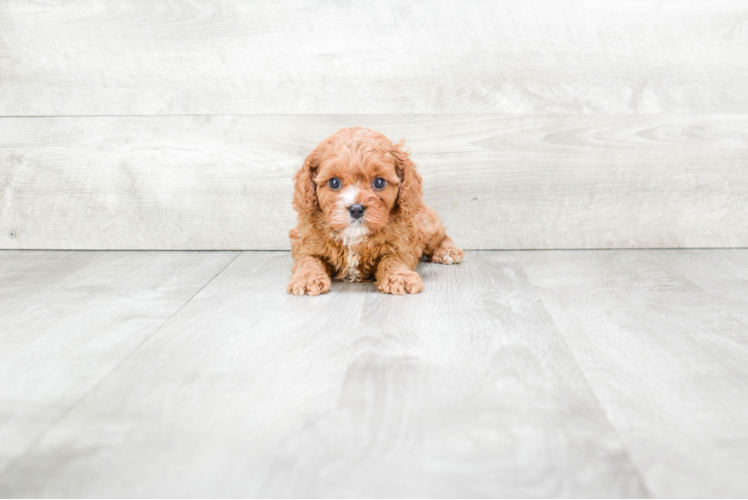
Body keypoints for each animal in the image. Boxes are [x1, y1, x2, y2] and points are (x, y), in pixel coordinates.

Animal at [286, 127, 462, 294]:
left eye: (379, 182)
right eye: (334, 182)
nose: (356, 209)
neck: (354, 237)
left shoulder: (401, 244)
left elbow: (392, 259)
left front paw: (399, 277)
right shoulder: (306, 243)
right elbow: (308, 260)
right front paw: (307, 278)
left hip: (427, 224)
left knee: (441, 236)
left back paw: (447, 251)